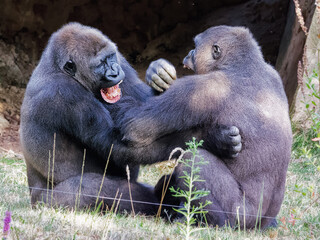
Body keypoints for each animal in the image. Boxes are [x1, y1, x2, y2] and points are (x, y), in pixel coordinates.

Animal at [20, 22, 240, 214]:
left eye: (110, 58)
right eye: (100, 64)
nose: (115, 72)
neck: (57, 67)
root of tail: (33, 199)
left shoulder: (119, 59)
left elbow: (146, 112)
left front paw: (157, 72)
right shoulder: (66, 95)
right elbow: (121, 146)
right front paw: (213, 138)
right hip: (46, 203)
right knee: (93, 189)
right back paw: (163, 198)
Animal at [117, 25, 292, 228]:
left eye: (195, 46)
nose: (188, 54)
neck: (242, 65)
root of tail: (260, 224)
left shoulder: (202, 88)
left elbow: (136, 125)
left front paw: (216, 139)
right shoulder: (275, 73)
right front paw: (158, 73)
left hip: (241, 217)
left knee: (193, 158)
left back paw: (210, 221)